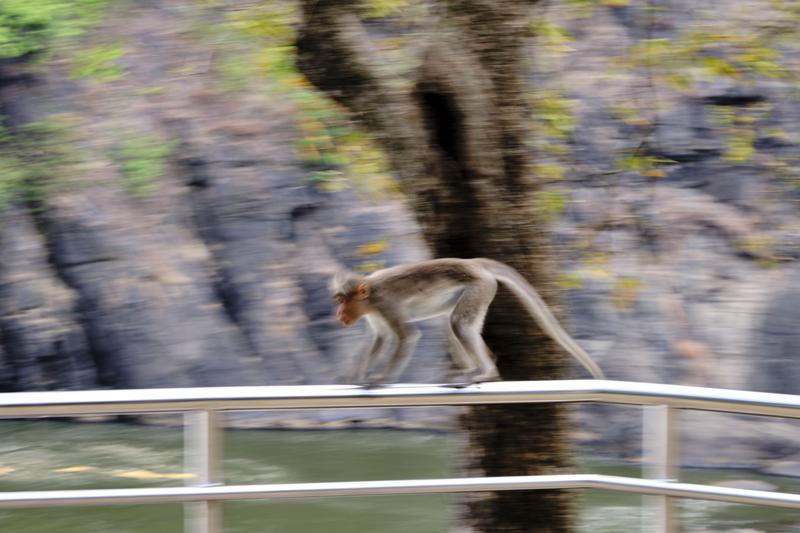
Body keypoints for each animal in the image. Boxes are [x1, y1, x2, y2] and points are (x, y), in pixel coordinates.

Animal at [328, 256, 604, 384]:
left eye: (341, 300)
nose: (338, 314)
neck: (371, 296)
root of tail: (473, 263)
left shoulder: (386, 304)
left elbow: (407, 336)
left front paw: (382, 380)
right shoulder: (375, 315)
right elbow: (382, 338)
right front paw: (359, 375)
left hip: (480, 287)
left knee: (458, 323)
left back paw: (485, 371)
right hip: (478, 290)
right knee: (453, 325)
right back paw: (480, 367)